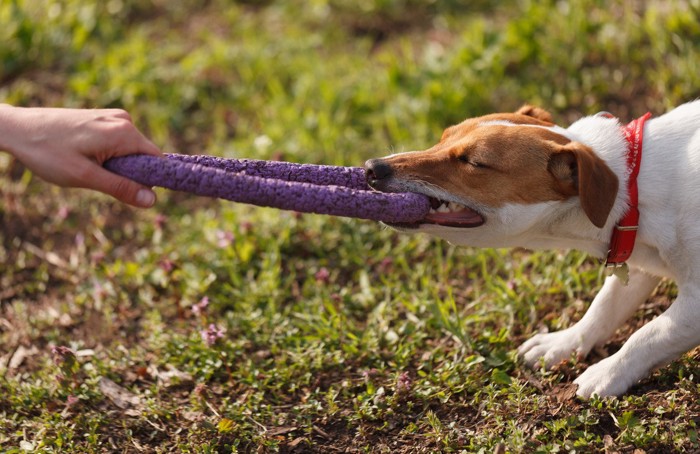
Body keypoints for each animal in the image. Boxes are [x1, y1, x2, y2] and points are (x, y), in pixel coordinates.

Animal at [364, 102, 700, 398]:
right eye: (442, 137)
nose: (371, 167)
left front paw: (606, 373)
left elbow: (650, 333)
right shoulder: (638, 259)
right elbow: (603, 307)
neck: (636, 186)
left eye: (473, 162)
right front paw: (561, 343)